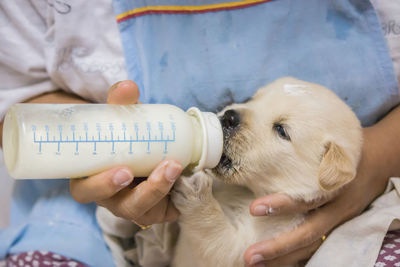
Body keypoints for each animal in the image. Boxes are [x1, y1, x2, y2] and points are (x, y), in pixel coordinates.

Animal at [170, 77, 364, 267]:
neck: (248, 191)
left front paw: (195, 193)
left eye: (281, 130)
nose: (229, 117)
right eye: (252, 99)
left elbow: (218, 242)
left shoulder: (253, 247)